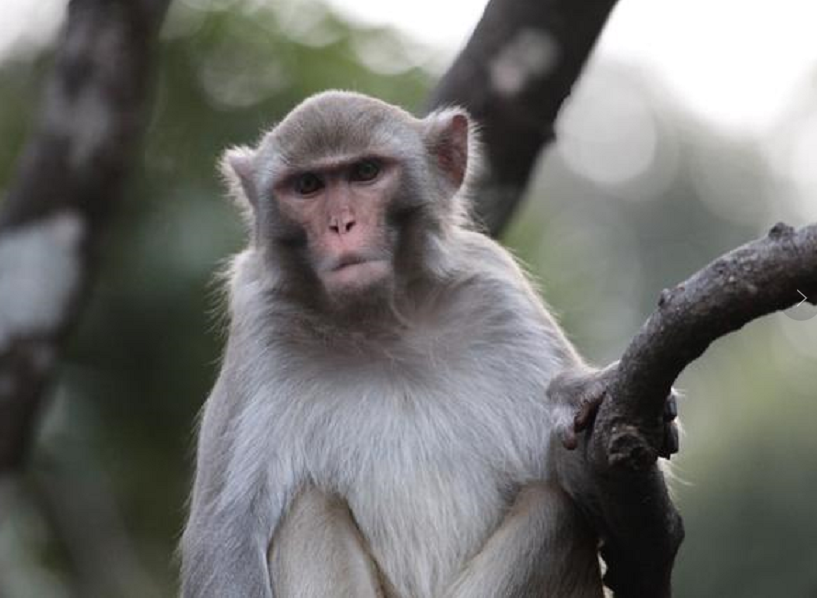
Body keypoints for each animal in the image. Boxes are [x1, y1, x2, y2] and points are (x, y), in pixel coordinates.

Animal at [180, 90, 676, 598]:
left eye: (365, 172)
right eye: (308, 185)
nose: (341, 224)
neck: (382, 323)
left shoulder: (497, 291)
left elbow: (593, 483)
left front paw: (577, 391)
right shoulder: (260, 326)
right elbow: (224, 543)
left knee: (554, 507)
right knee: (310, 506)